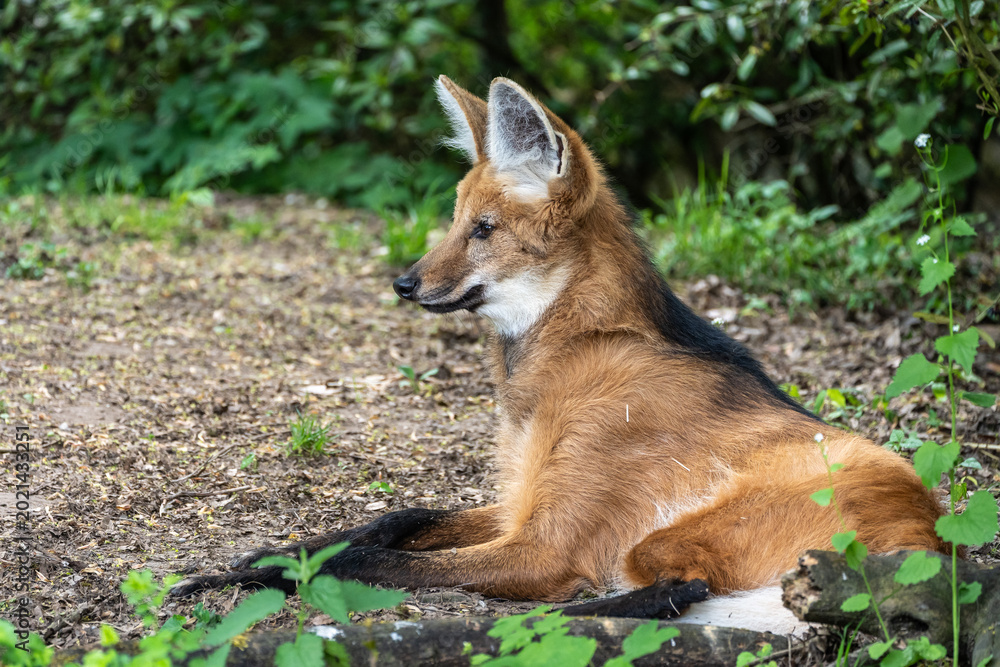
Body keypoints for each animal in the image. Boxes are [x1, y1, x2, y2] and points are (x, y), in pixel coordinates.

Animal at [173, 76, 944, 631]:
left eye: (483, 229)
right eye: (455, 219)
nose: (404, 283)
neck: (560, 352)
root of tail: (932, 538)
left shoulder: (542, 546)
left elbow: (365, 558)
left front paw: (233, 576)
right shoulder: (517, 501)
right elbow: (396, 520)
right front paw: (263, 552)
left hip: (675, 534)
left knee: (675, 586)